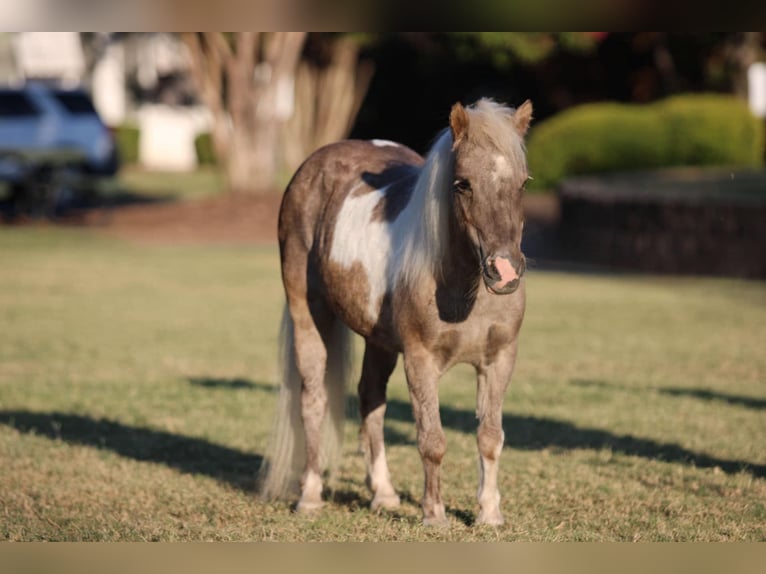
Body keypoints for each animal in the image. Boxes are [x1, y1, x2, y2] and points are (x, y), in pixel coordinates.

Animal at [260, 98, 532, 528]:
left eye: (523, 183)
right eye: (463, 183)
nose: (504, 271)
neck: (463, 286)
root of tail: (315, 162)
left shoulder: (499, 361)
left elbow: (490, 437)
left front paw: (489, 513)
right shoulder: (420, 361)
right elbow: (432, 440)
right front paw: (434, 514)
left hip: (380, 342)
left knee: (370, 400)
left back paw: (384, 495)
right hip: (308, 316)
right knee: (313, 399)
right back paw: (310, 496)